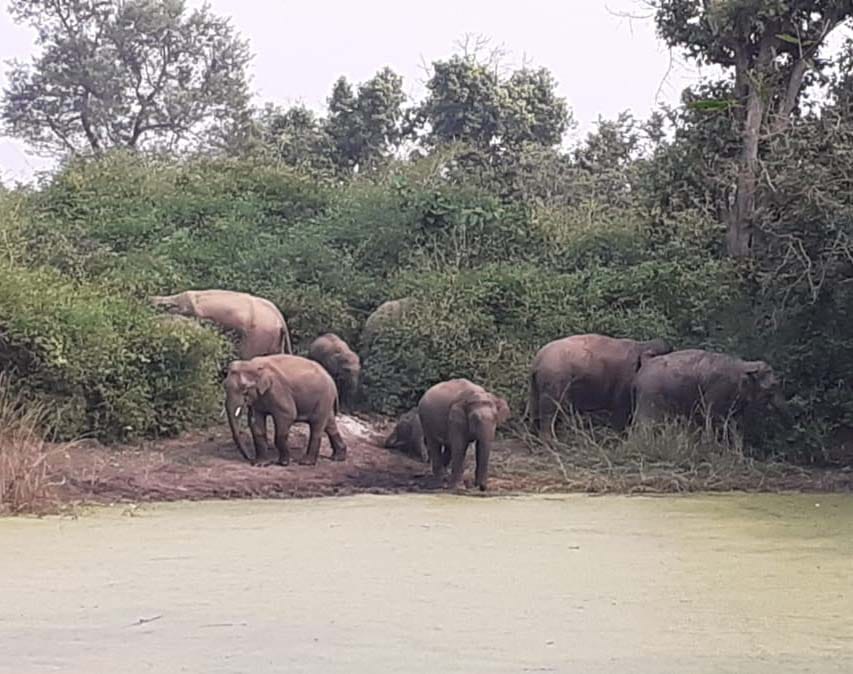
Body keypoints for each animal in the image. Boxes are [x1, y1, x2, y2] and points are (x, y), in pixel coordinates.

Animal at [528, 333, 673, 440]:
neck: (642, 345)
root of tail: (537, 360)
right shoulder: (625, 381)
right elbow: (621, 411)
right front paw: (618, 439)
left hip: (537, 384)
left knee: (536, 408)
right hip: (553, 380)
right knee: (549, 410)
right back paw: (551, 443)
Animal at [632, 349, 792, 432]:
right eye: (774, 385)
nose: (791, 421)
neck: (744, 365)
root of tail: (646, 362)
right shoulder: (719, 390)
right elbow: (713, 416)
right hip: (649, 395)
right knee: (646, 423)